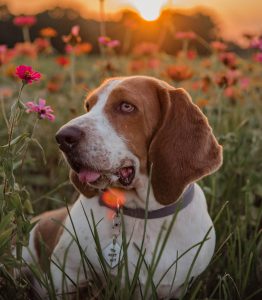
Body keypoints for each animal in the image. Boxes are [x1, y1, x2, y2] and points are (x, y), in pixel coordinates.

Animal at [21, 76, 223, 298]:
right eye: (88, 106)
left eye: (126, 106)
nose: (63, 137)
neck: (141, 213)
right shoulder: (67, 274)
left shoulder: (177, 288)